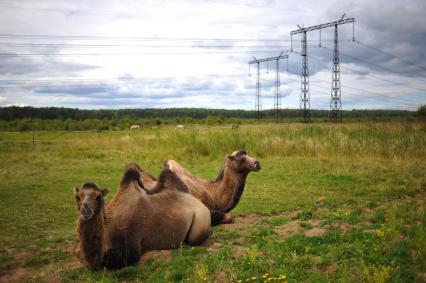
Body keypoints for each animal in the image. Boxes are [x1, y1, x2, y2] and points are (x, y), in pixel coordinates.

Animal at [75, 165, 213, 272]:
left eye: (98, 196)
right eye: (77, 197)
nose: (85, 210)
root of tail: (199, 202)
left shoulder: (131, 240)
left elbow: (114, 260)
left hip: (201, 219)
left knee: (194, 239)